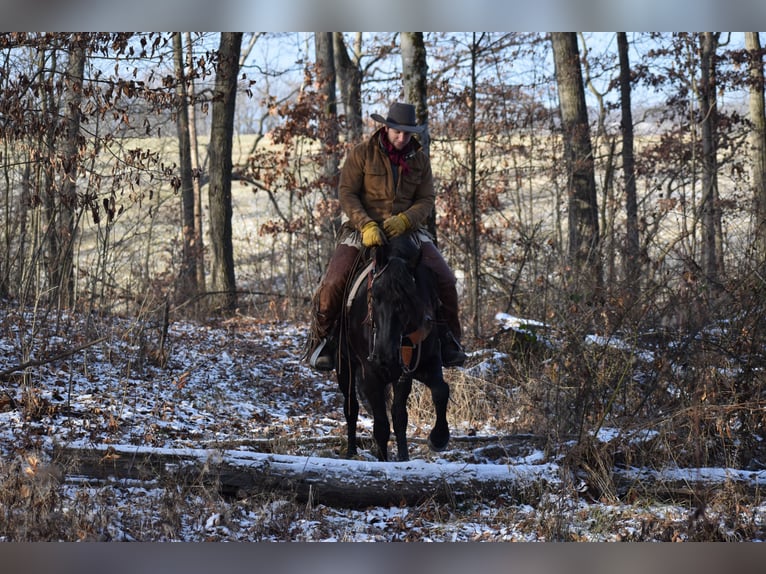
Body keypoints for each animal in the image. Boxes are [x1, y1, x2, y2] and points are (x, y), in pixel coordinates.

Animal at [340, 234, 452, 464]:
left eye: (408, 299)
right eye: (374, 297)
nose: (384, 356)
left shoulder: (419, 365)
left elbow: (439, 391)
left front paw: (437, 438)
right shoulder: (371, 374)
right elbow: (381, 424)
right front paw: (384, 461)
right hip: (345, 367)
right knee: (351, 407)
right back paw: (351, 452)